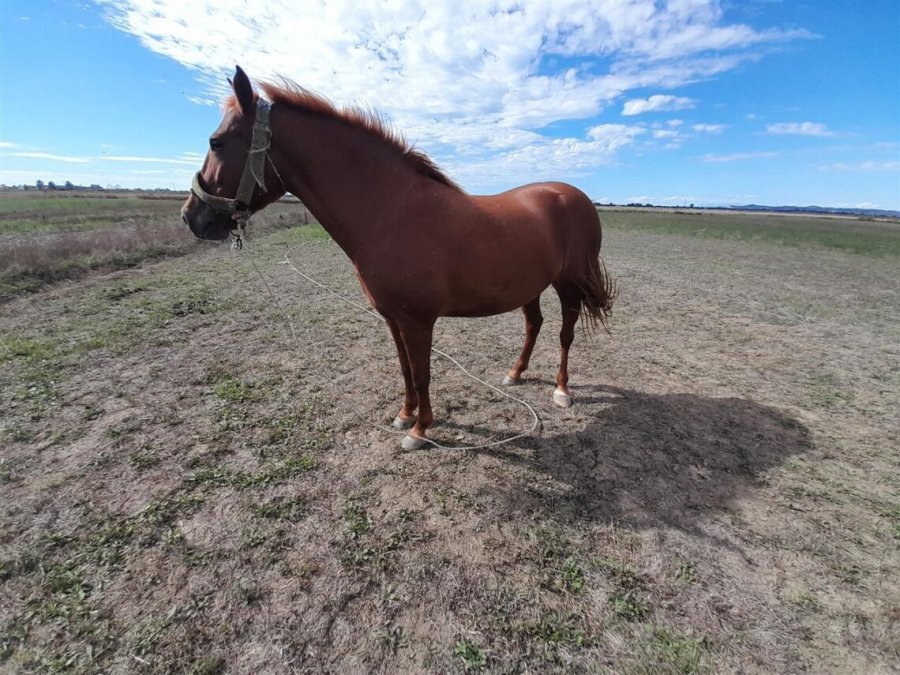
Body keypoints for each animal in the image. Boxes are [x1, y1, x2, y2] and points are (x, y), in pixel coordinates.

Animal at [183, 66, 620, 452]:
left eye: (216, 141)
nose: (192, 217)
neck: (392, 212)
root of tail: (574, 195)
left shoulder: (417, 321)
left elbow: (423, 374)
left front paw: (420, 431)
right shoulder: (393, 318)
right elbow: (406, 370)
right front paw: (404, 415)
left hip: (568, 284)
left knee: (564, 333)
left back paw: (561, 390)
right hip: (530, 286)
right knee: (534, 325)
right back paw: (514, 374)